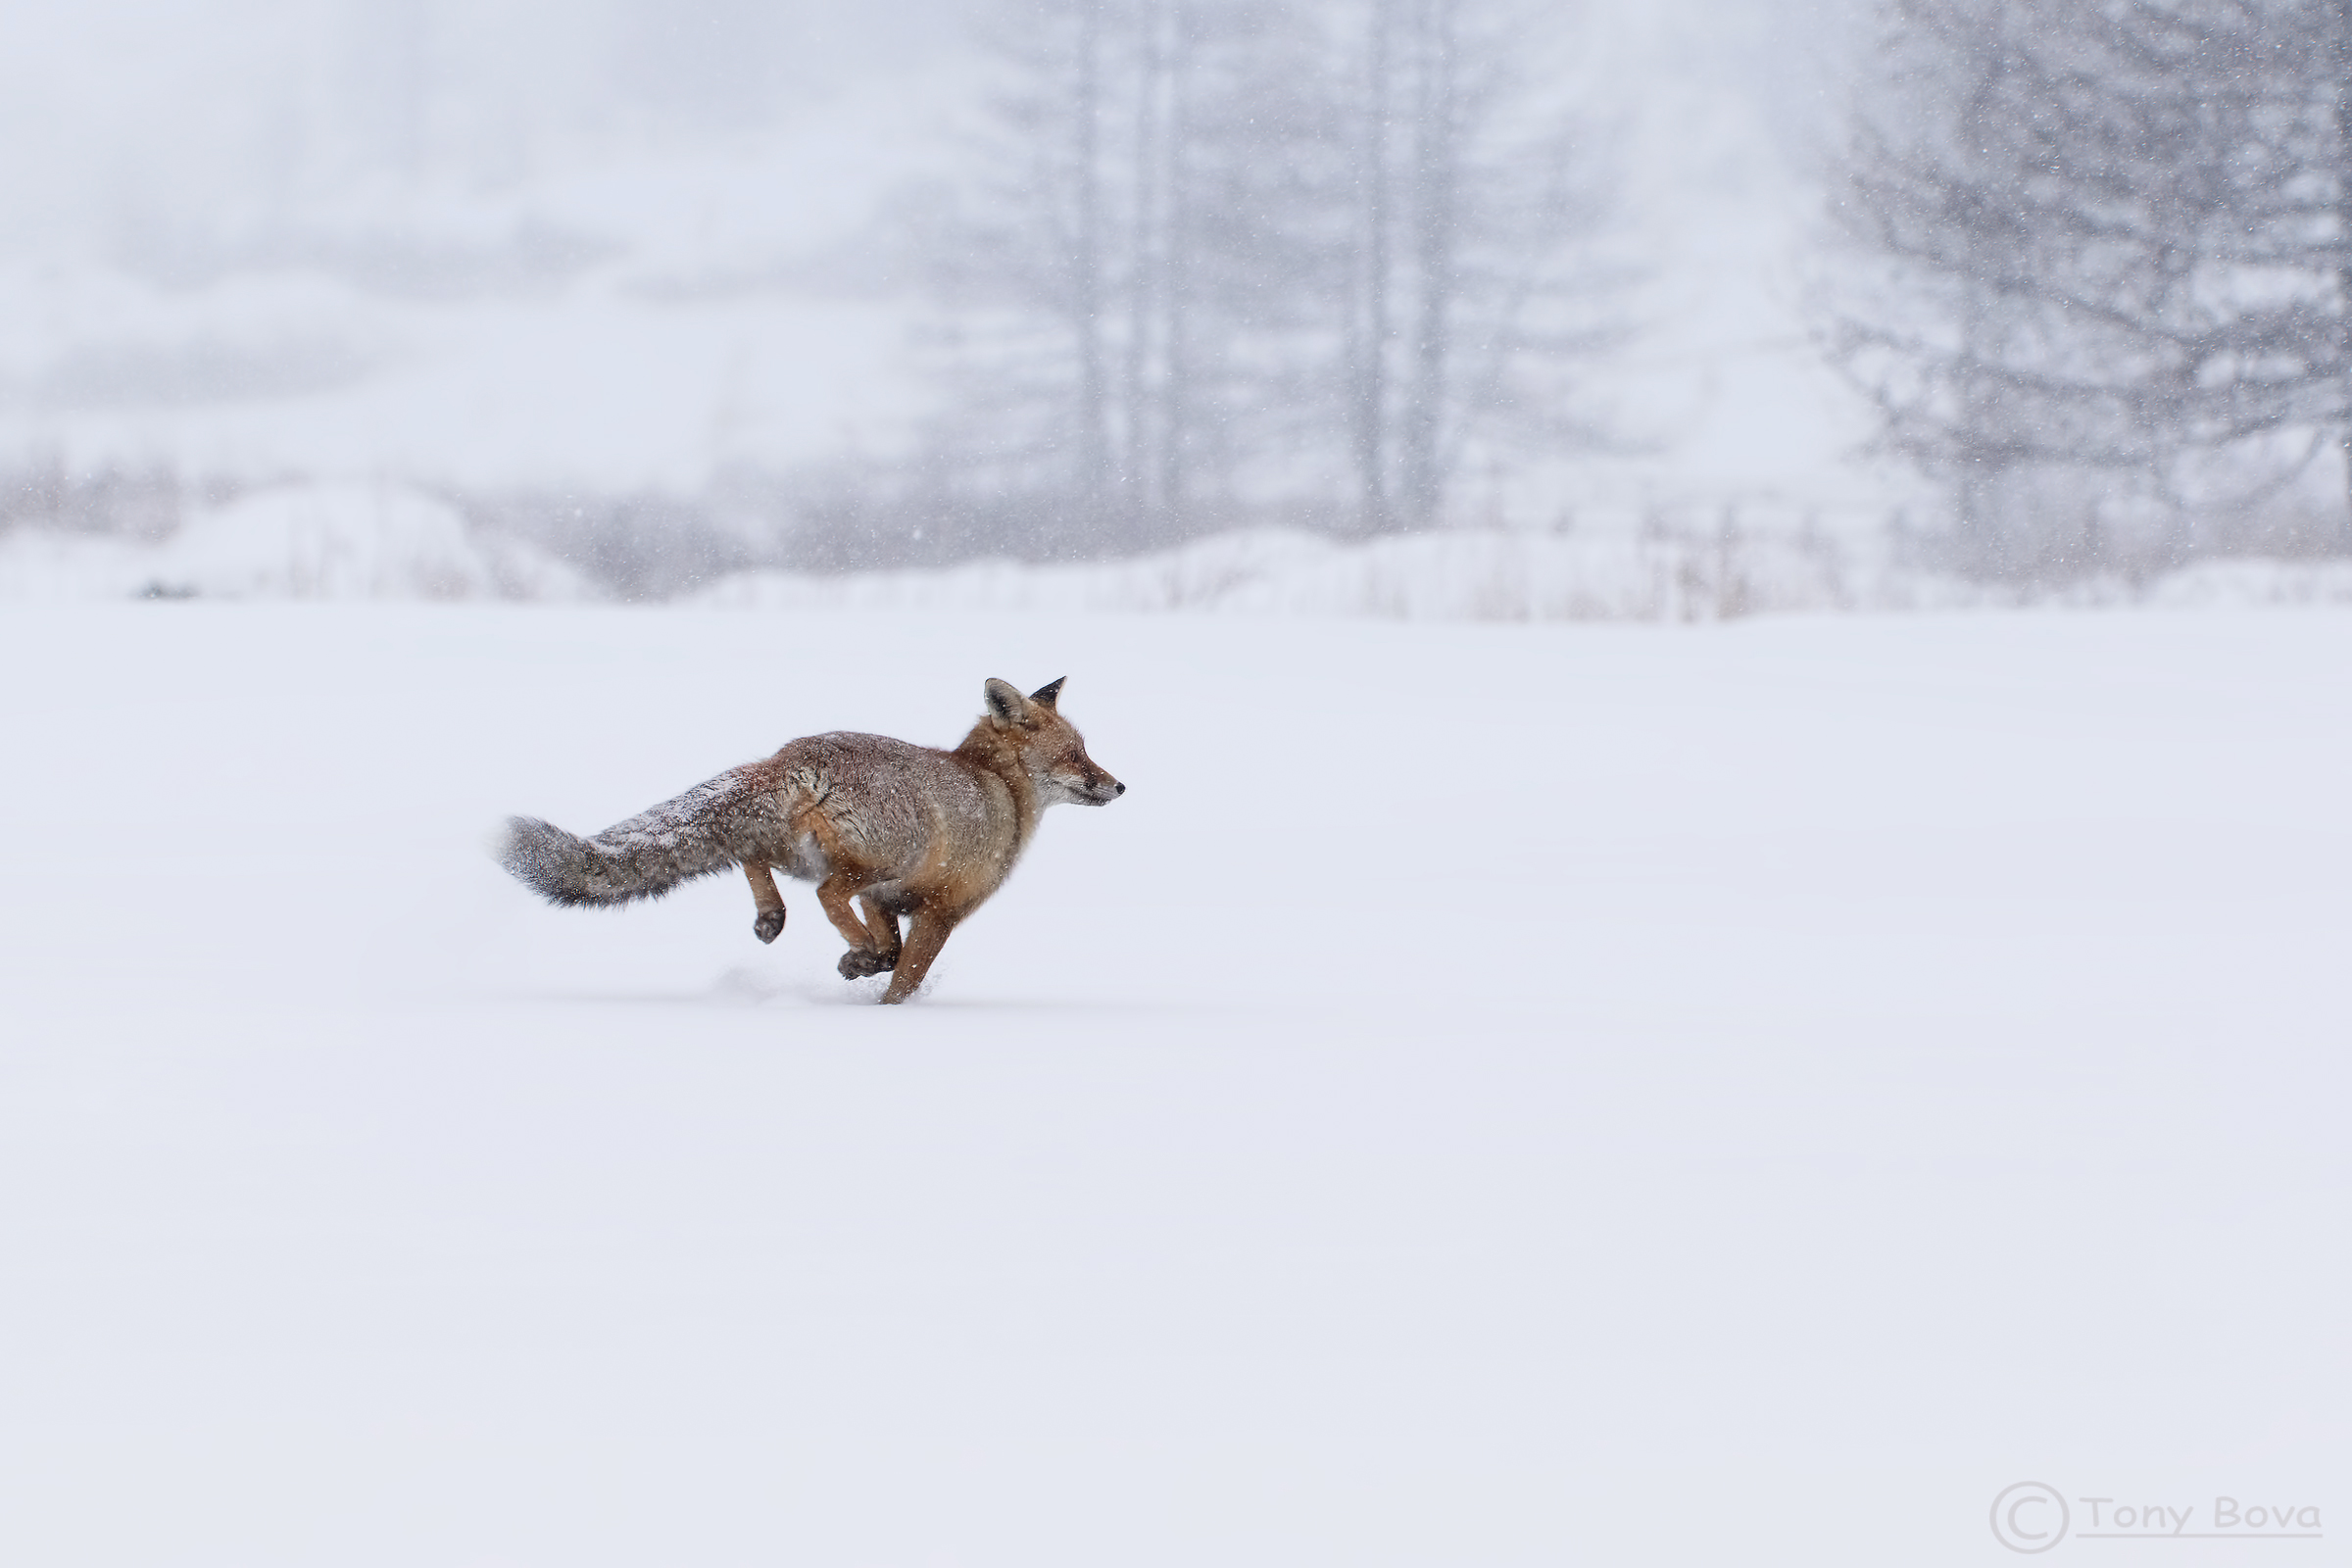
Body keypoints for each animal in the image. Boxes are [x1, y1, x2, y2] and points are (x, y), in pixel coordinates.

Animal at [498, 677, 1124, 1004]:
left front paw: (857, 964)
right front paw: (881, 994)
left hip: (802, 850)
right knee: (824, 893)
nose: (1119, 785)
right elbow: (903, 975)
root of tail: (791, 755)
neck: (996, 786)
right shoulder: (940, 909)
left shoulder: (885, 899)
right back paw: (839, 942)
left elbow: (890, 949)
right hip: (873, 859)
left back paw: (774, 919)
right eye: (1076, 755)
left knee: (753, 856)